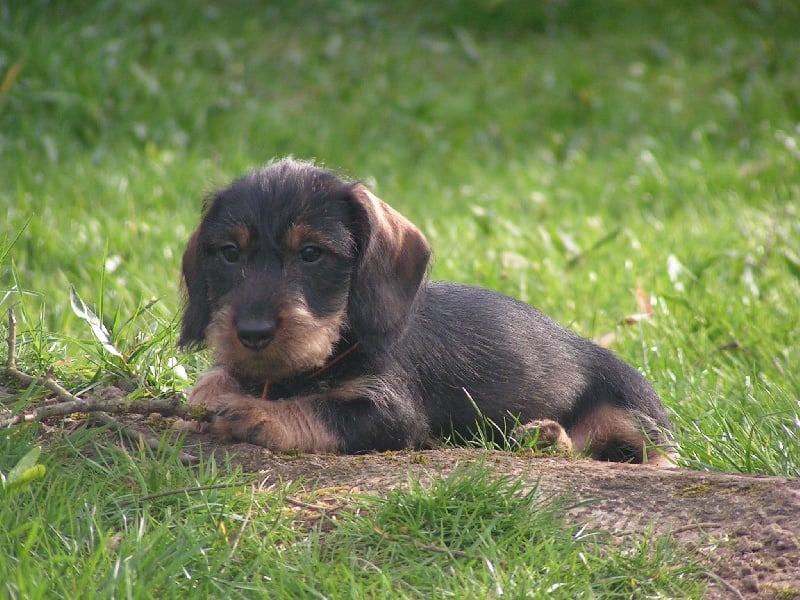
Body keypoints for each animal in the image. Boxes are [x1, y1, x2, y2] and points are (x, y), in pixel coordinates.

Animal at [181, 158, 676, 464]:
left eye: (311, 253)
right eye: (229, 253)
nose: (253, 332)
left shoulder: (389, 413)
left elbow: (317, 410)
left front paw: (255, 414)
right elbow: (216, 382)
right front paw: (214, 388)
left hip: (632, 409)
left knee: (650, 456)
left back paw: (550, 438)